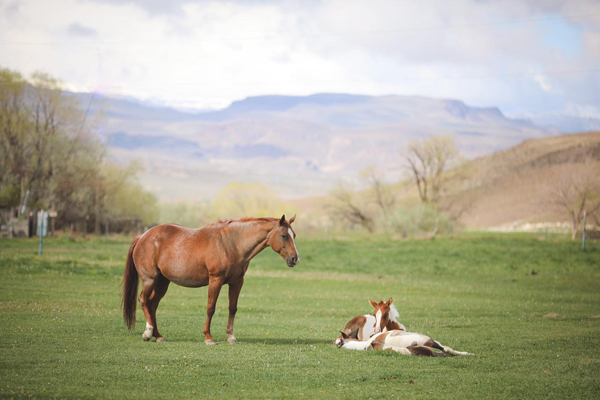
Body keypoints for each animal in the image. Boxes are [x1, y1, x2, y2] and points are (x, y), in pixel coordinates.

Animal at [122, 216, 300, 344]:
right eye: (284, 235)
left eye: (294, 235)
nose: (295, 259)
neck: (232, 243)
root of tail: (143, 236)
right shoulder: (216, 280)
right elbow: (210, 308)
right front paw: (208, 337)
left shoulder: (237, 282)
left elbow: (232, 308)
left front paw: (231, 337)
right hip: (150, 279)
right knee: (143, 300)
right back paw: (148, 332)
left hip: (163, 282)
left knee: (152, 305)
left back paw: (158, 335)